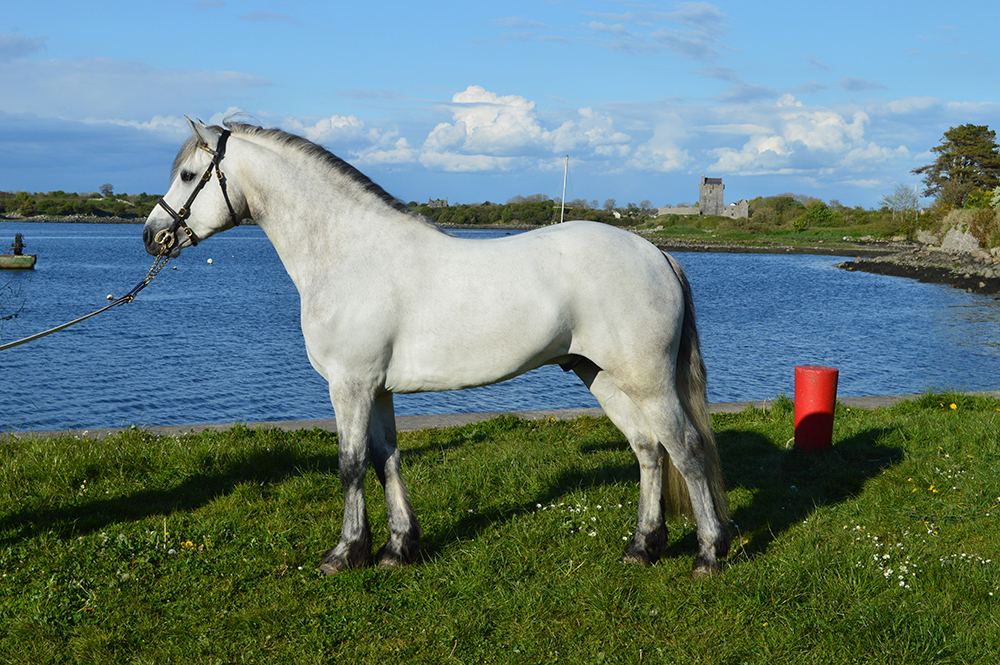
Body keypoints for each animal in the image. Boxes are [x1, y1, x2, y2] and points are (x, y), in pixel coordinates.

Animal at [142, 117, 731, 577]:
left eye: (189, 175)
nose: (152, 236)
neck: (350, 254)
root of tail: (656, 252)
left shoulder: (349, 385)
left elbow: (350, 463)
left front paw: (344, 554)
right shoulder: (376, 388)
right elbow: (386, 458)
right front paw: (398, 549)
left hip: (648, 382)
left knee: (686, 449)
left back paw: (708, 554)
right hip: (602, 377)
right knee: (648, 450)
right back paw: (642, 547)